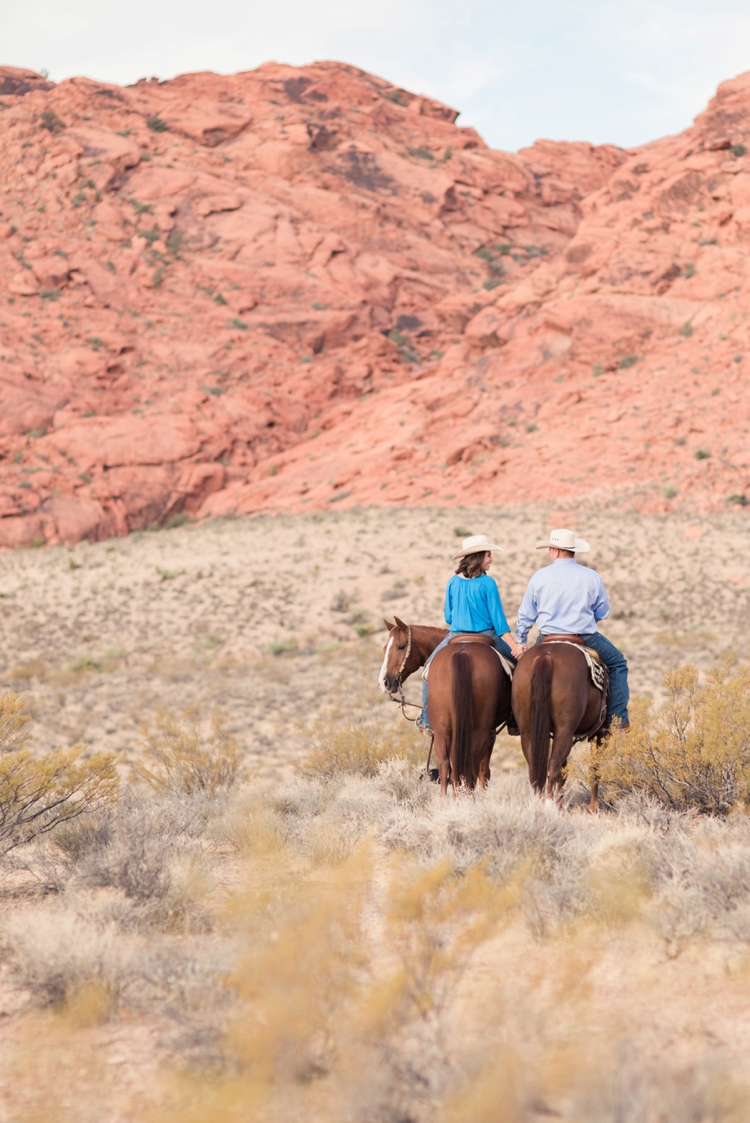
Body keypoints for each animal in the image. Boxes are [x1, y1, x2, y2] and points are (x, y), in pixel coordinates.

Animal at [381, 619, 516, 795]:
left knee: (447, 767)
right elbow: (483, 771)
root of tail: (462, 653)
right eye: (385, 648)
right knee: (469, 769)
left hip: (443, 730)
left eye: (401, 646)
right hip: (479, 731)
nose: (384, 682)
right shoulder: (490, 732)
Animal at [511, 642, 606, 808]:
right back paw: (549, 804)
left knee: (536, 769)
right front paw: (594, 809)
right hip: (564, 731)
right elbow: (595, 768)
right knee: (554, 766)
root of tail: (546, 656)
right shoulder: (598, 734)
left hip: (528, 731)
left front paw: (561, 805)